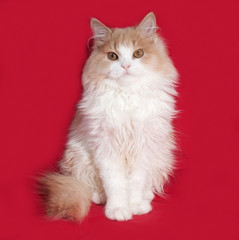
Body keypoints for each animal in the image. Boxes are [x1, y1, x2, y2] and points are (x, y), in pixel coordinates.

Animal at [38, 11, 177, 221]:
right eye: (113, 56)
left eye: (138, 53)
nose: (126, 66)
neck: (127, 95)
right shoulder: (106, 148)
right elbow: (115, 184)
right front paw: (118, 210)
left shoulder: (143, 148)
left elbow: (136, 183)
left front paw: (135, 205)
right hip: (79, 158)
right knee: (90, 186)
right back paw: (100, 197)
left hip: (161, 156)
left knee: (148, 185)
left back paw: (146, 197)